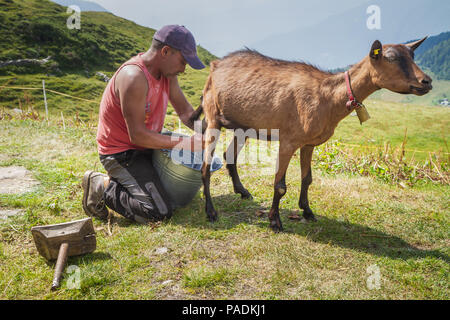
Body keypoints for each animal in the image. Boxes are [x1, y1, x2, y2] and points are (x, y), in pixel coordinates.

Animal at [199, 38, 430, 231]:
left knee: (230, 157)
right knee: (205, 166)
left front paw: (307, 211)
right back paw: (210, 211)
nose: (426, 81)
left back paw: (243, 191)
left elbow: (307, 178)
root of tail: (216, 64)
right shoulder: (288, 140)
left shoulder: (308, 143)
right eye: (390, 57)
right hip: (212, 116)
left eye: (412, 55)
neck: (328, 97)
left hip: (243, 125)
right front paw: (275, 221)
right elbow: (280, 185)